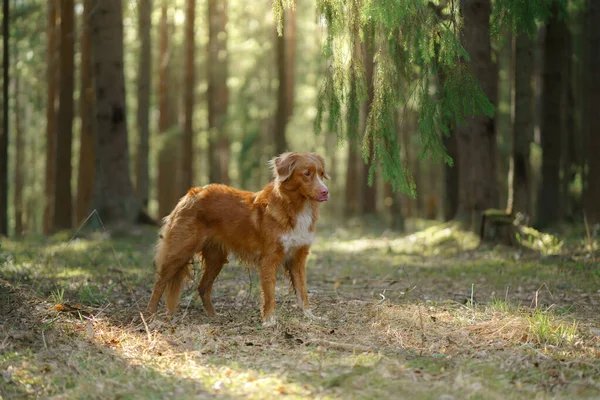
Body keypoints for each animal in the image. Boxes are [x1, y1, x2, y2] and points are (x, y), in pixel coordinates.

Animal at [147, 152, 330, 324]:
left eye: (321, 173)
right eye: (307, 173)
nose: (325, 192)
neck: (296, 207)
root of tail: (191, 194)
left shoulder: (298, 259)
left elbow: (302, 292)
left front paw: (310, 316)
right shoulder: (270, 258)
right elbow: (270, 294)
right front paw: (269, 320)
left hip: (216, 259)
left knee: (202, 287)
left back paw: (214, 316)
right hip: (180, 250)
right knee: (159, 283)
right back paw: (151, 315)